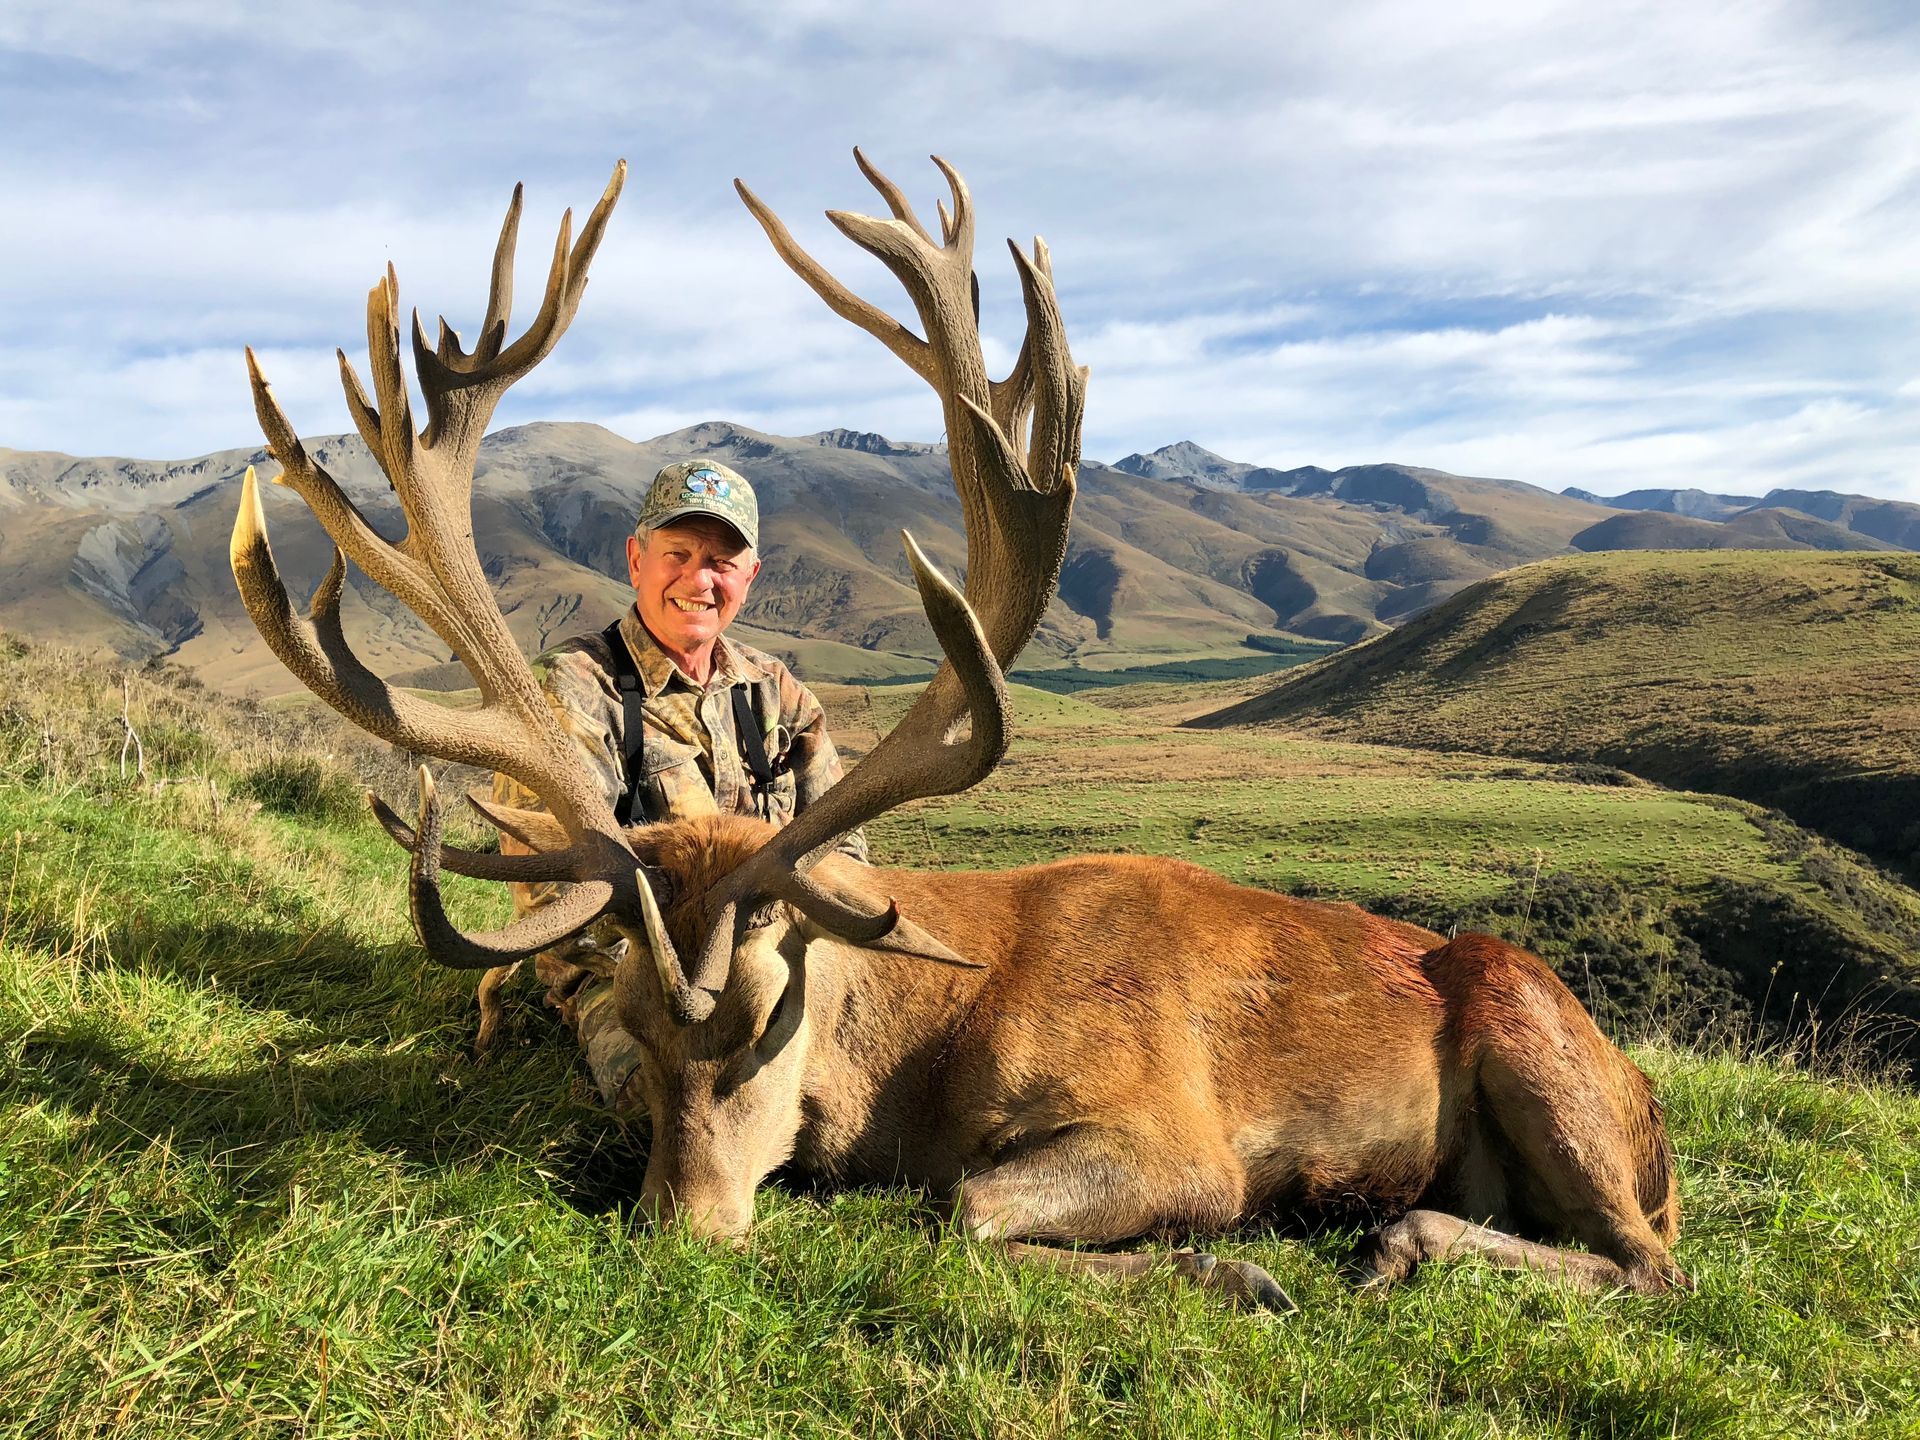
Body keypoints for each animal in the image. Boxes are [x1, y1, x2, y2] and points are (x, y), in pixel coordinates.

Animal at [230, 154, 1686, 1314]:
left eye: (767, 1022)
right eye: (630, 1028)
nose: (684, 1234)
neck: (925, 1057)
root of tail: (1651, 1108)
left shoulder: (1180, 1133)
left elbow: (968, 1209)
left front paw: (1231, 1268)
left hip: (1534, 1038)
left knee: (1653, 1264)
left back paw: (1396, 1241)